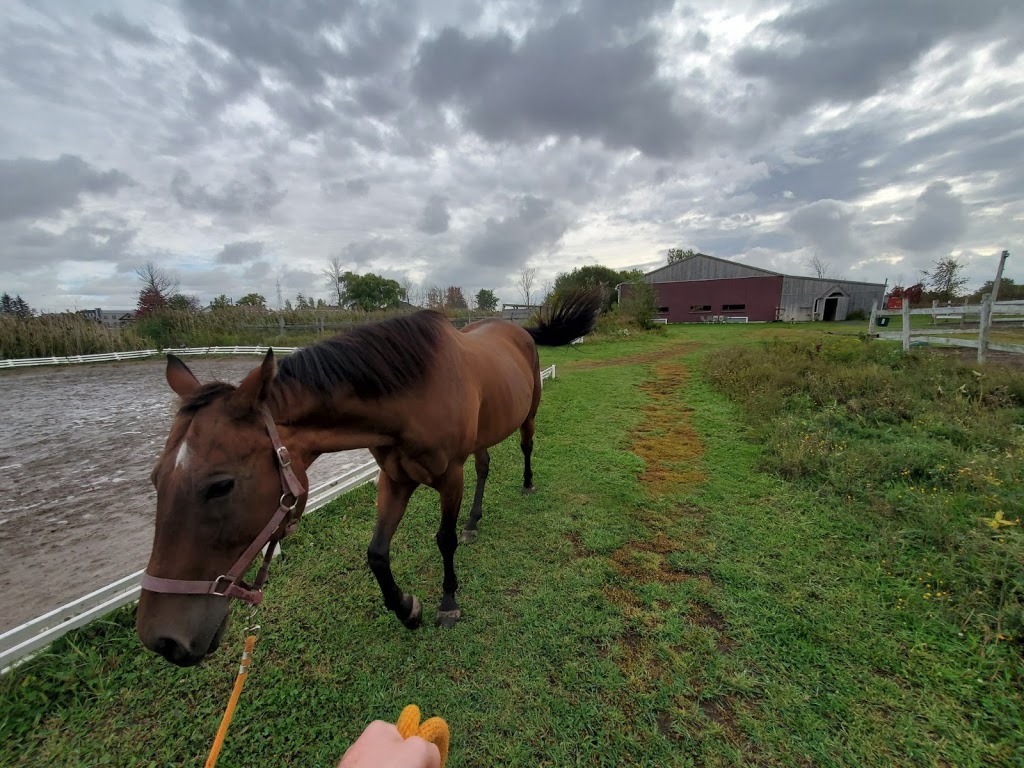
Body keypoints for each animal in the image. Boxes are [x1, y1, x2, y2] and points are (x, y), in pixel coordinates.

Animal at [135, 288, 598, 667]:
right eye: (156, 479)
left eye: (221, 485)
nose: (162, 639)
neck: (413, 397)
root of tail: (518, 330)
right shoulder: (394, 479)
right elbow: (376, 553)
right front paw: (408, 609)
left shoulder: (449, 476)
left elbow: (443, 540)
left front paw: (448, 601)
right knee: (484, 467)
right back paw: (474, 521)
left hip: (528, 415)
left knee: (525, 447)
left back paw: (526, 484)